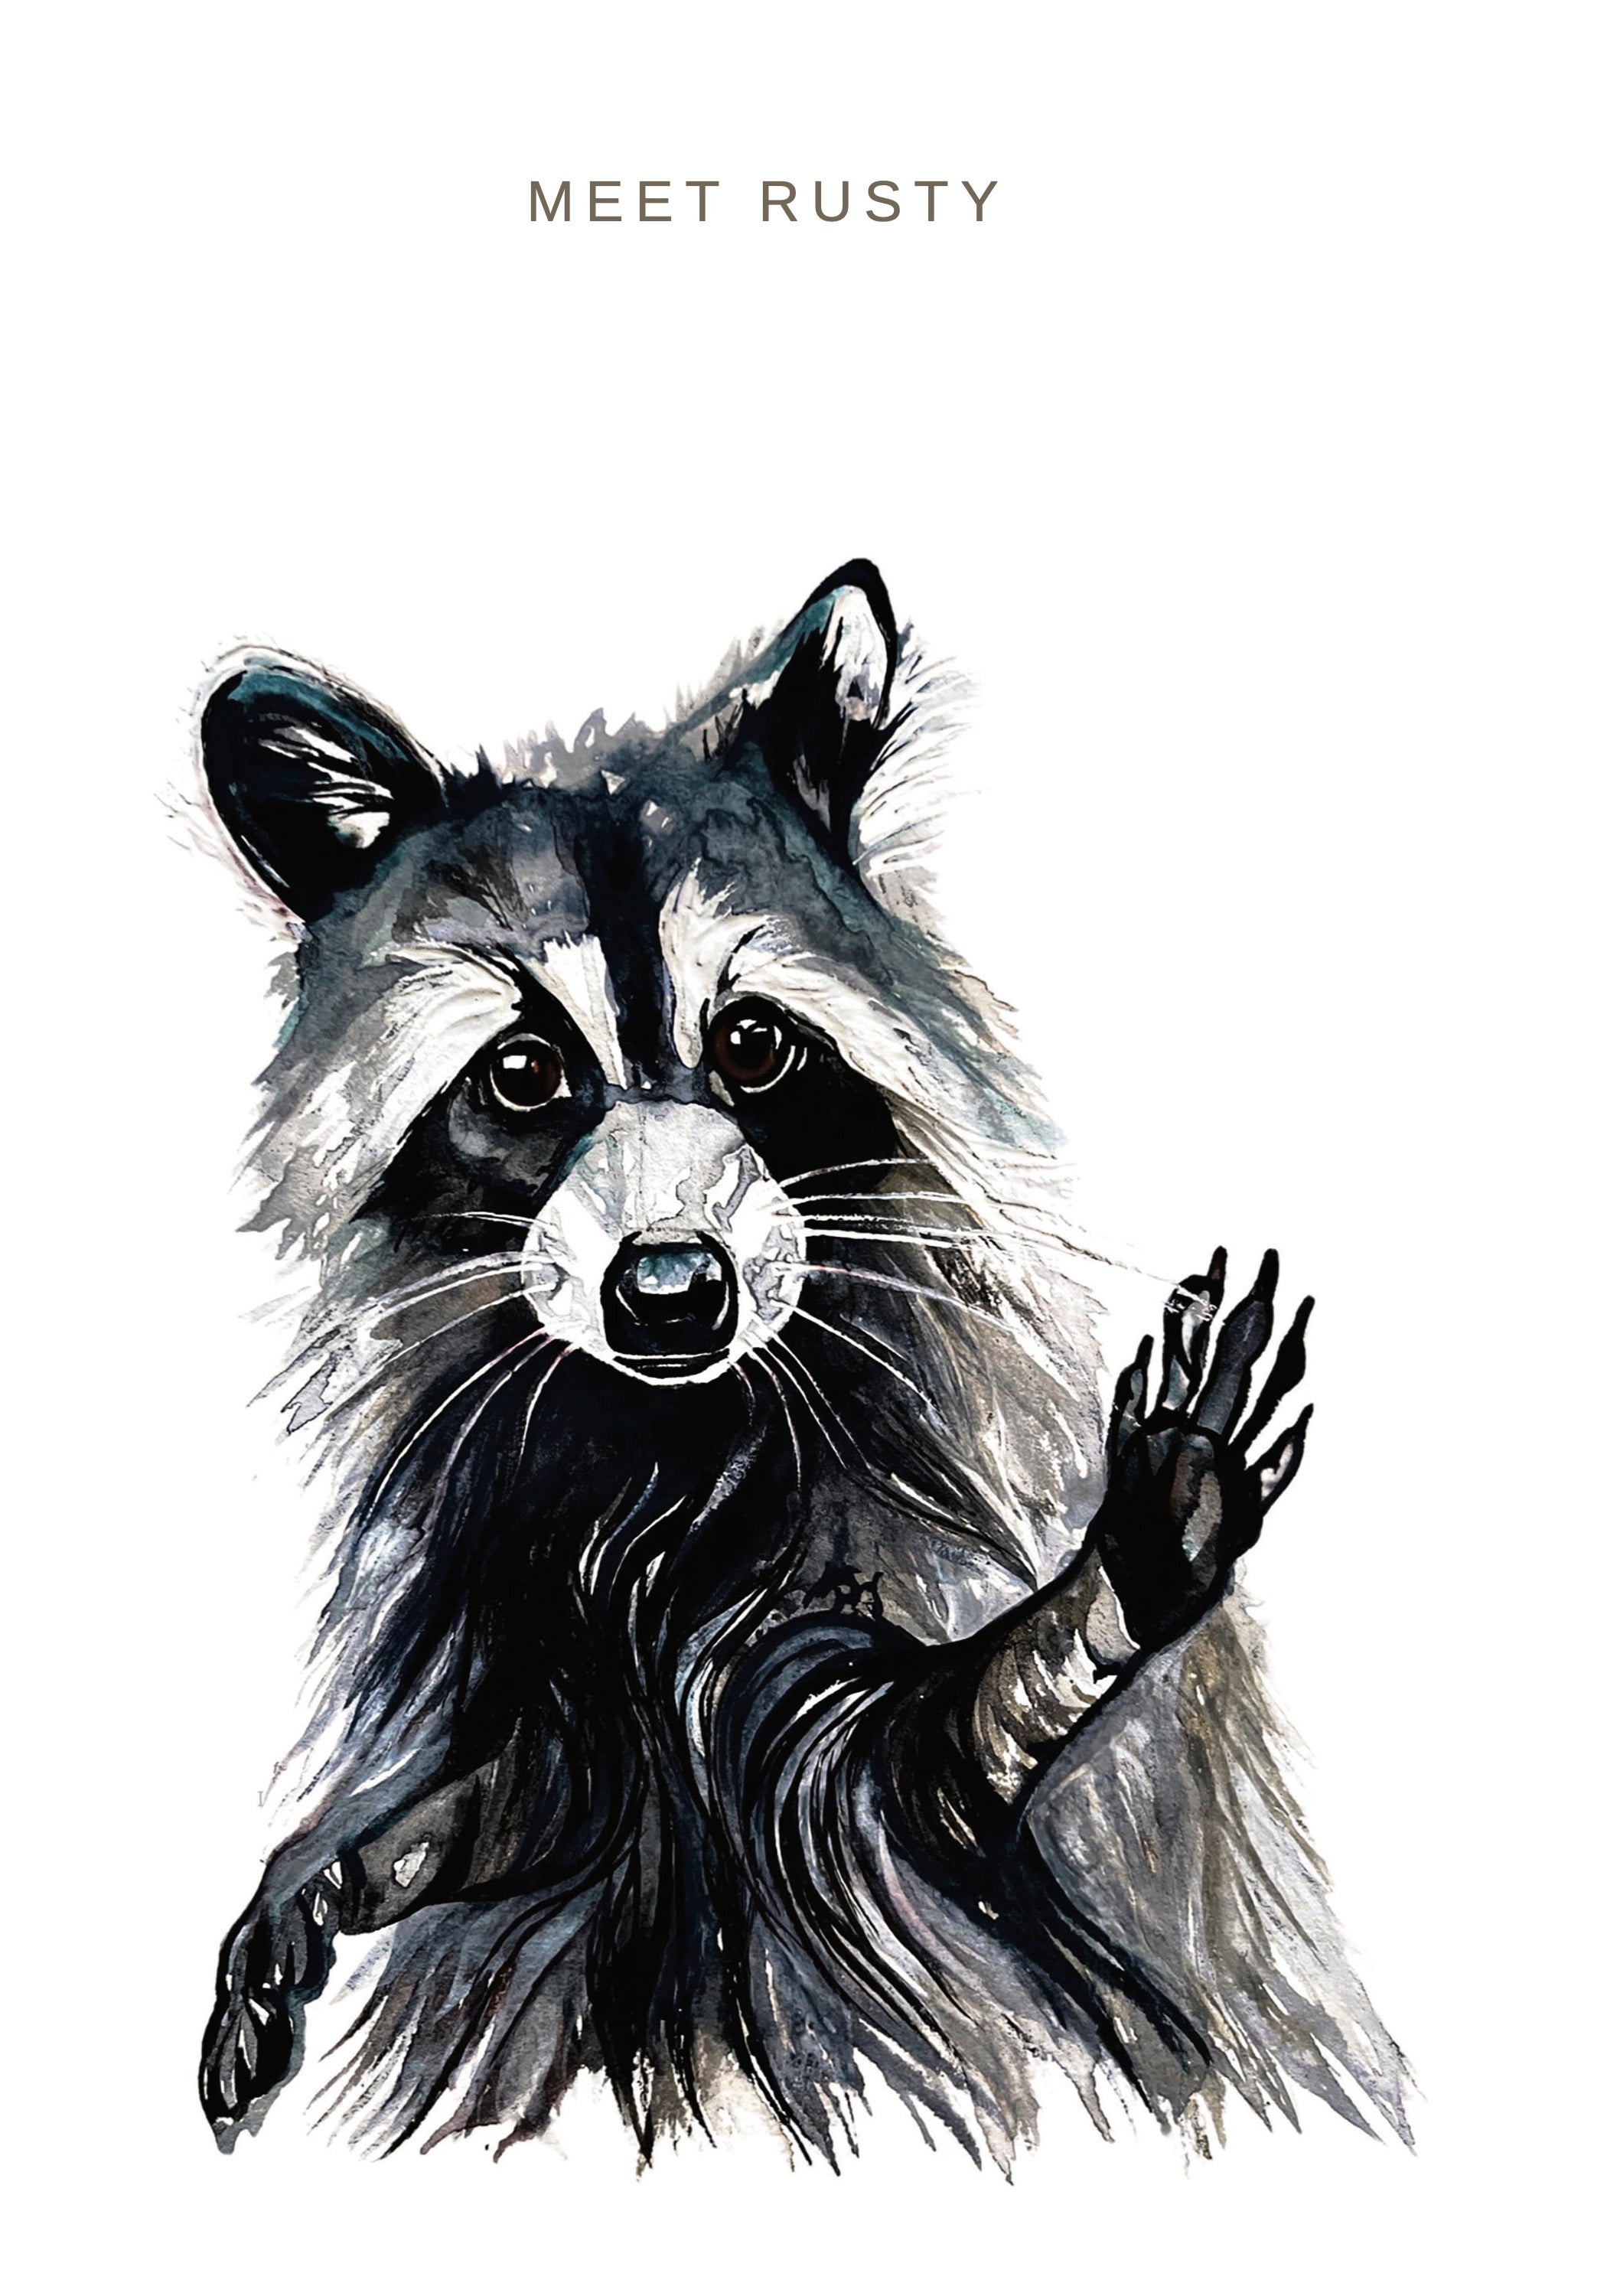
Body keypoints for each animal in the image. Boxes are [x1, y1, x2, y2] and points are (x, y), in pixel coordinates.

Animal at [196, 561, 1407, 2163]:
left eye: (756, 1044)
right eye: (522, 1075)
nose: (671, 1291)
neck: (669, 1441)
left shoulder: (886, 1555)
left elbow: (914, 1770)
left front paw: (1118, 1580)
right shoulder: (549, 1601)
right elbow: (538, 1789)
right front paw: (339, 1862)